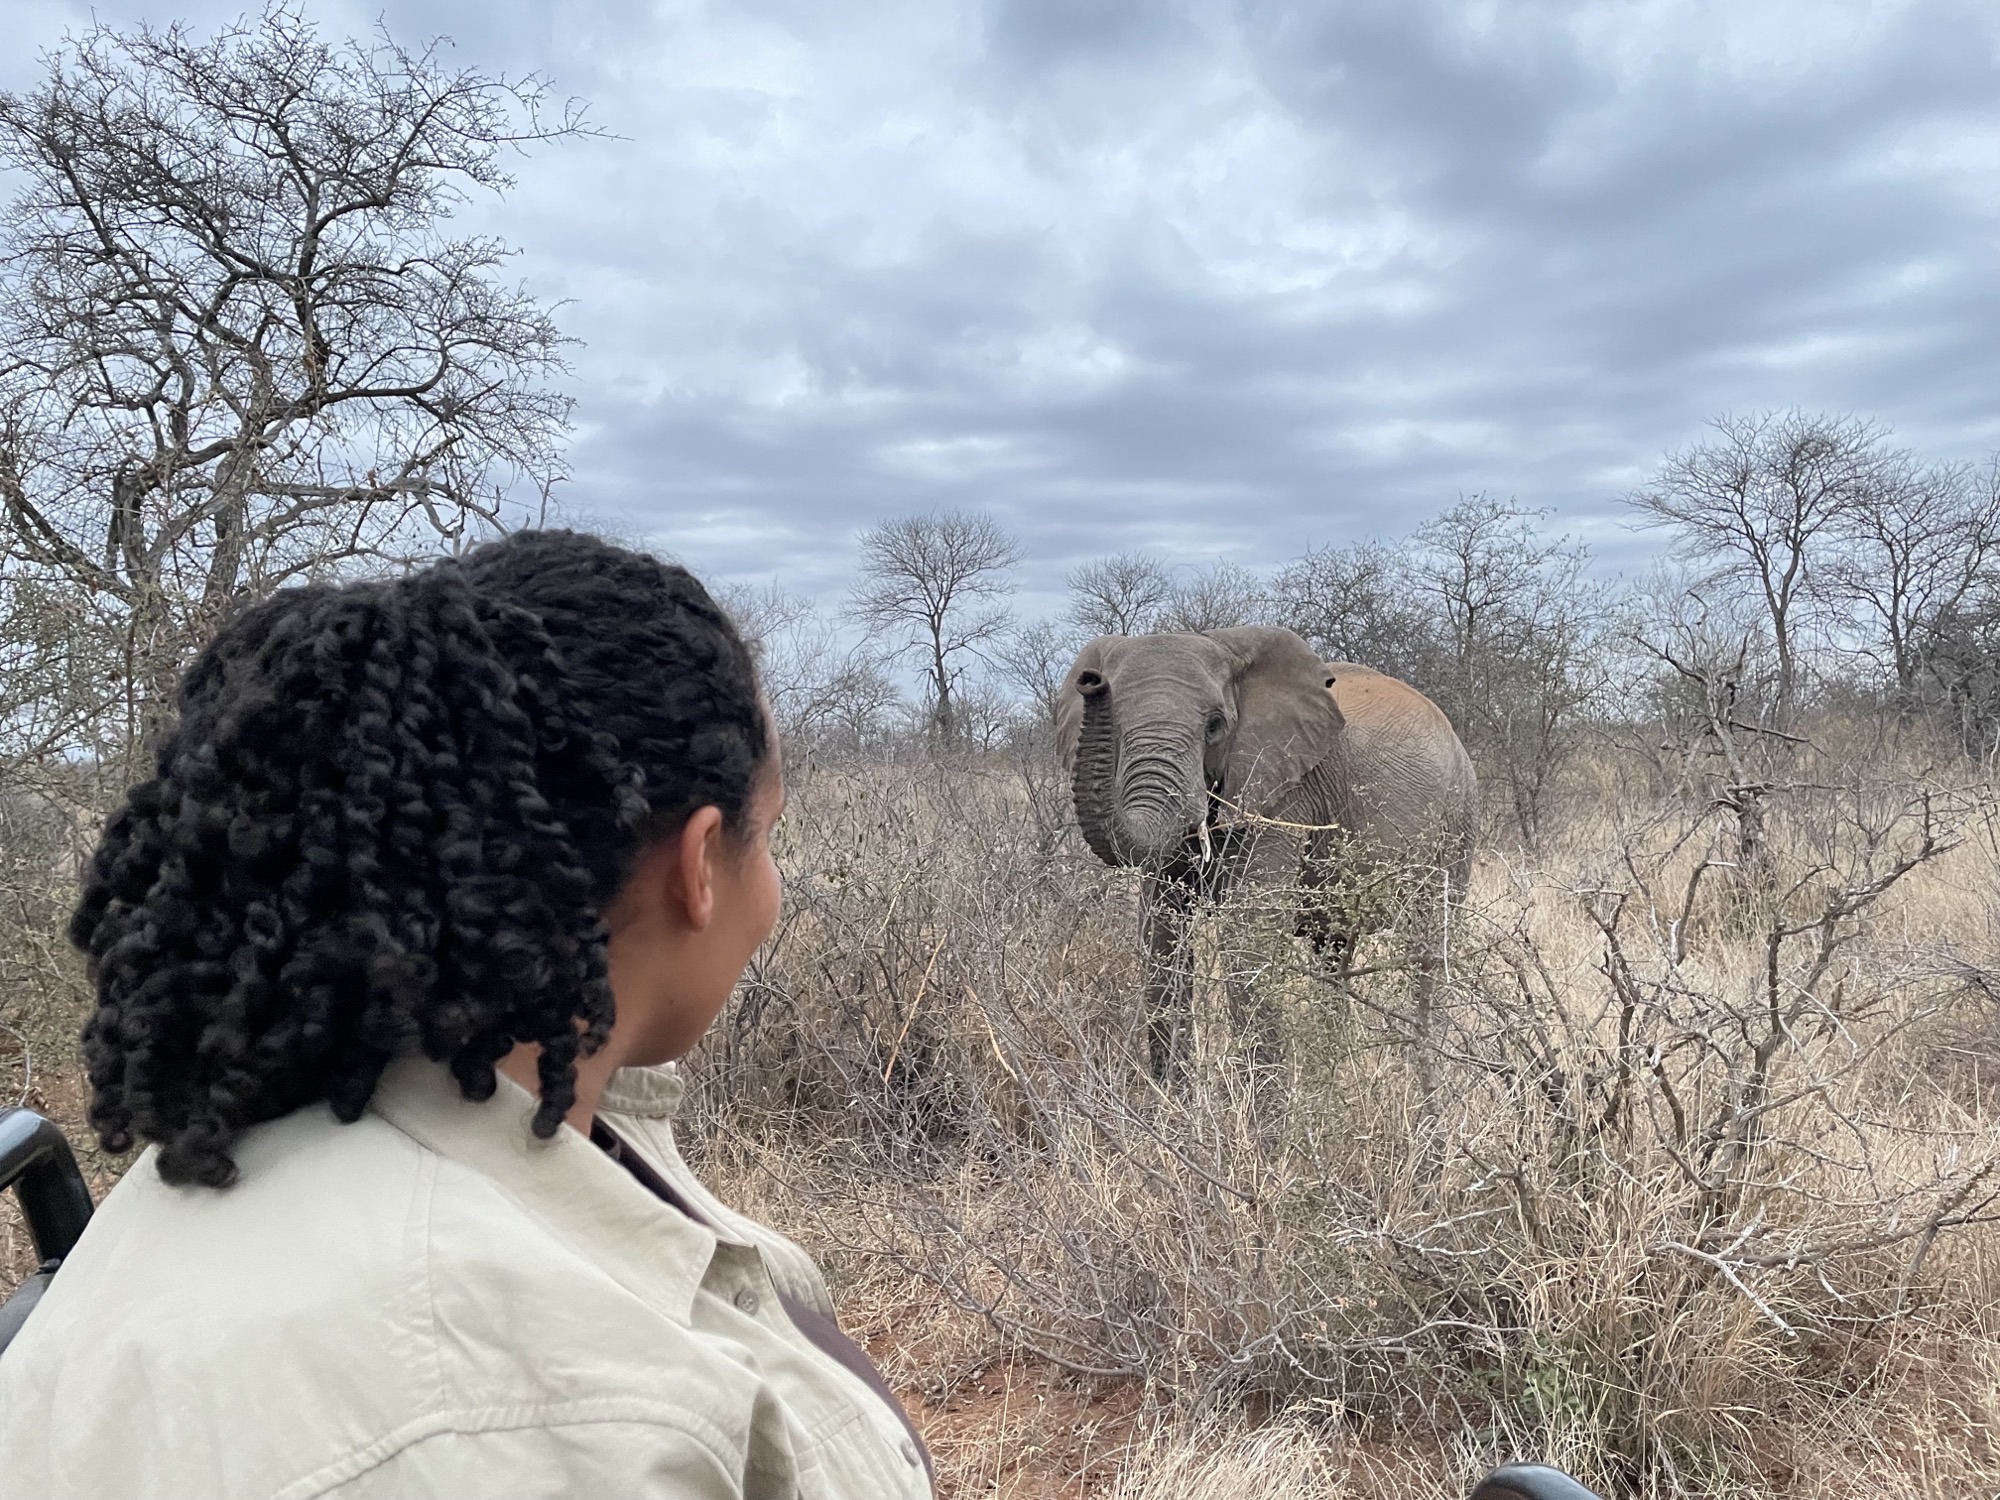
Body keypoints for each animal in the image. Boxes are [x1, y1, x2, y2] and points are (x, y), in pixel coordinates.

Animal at [1054, 625, 1477, 1082]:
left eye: (1215, 726)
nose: (1091, 681)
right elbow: (1161, 935)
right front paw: (1172, 1098)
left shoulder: (1284, 794)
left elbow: (1248, 937)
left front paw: (1266, 1102)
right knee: (1334, 952)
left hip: (1457, 823)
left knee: (1428, 947)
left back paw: (1426, 1081)